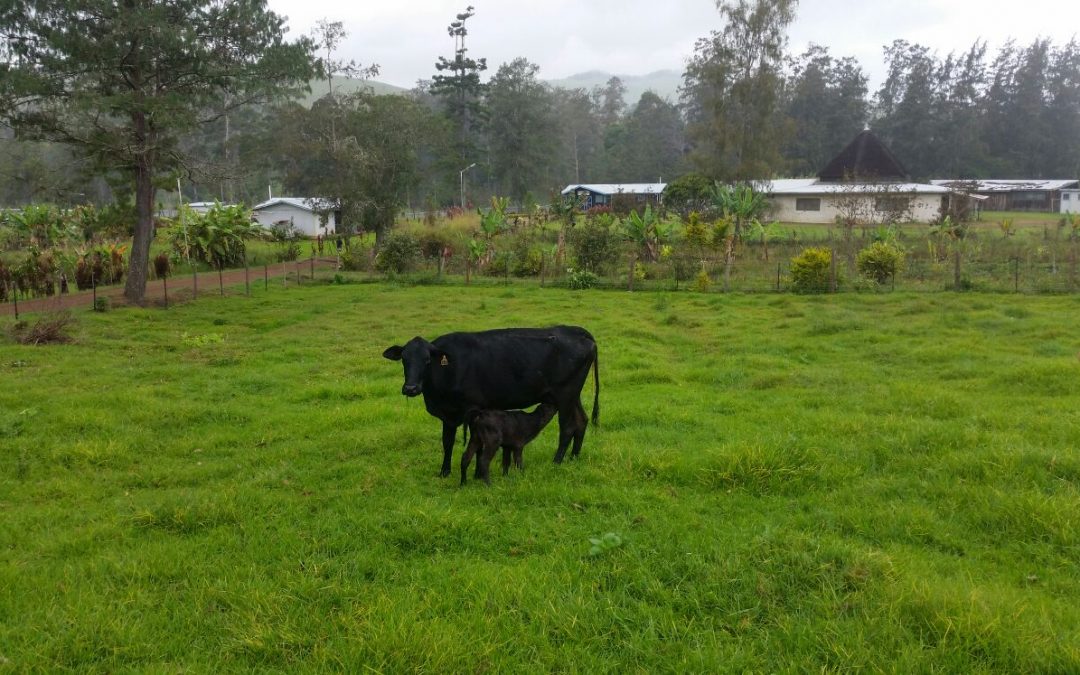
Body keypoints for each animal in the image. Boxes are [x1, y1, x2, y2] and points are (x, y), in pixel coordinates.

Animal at [382, 326, 600, 473]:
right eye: (404, 360)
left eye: (427, 360)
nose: (411, 388)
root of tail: (577, 331)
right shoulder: (449, 414)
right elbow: (447, 442)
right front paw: (444, 472)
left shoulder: (473, 409)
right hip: (572, 395)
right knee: (581, 421)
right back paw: (574, 458)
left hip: (565, 395)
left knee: (568, 427)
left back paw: (557, 461)